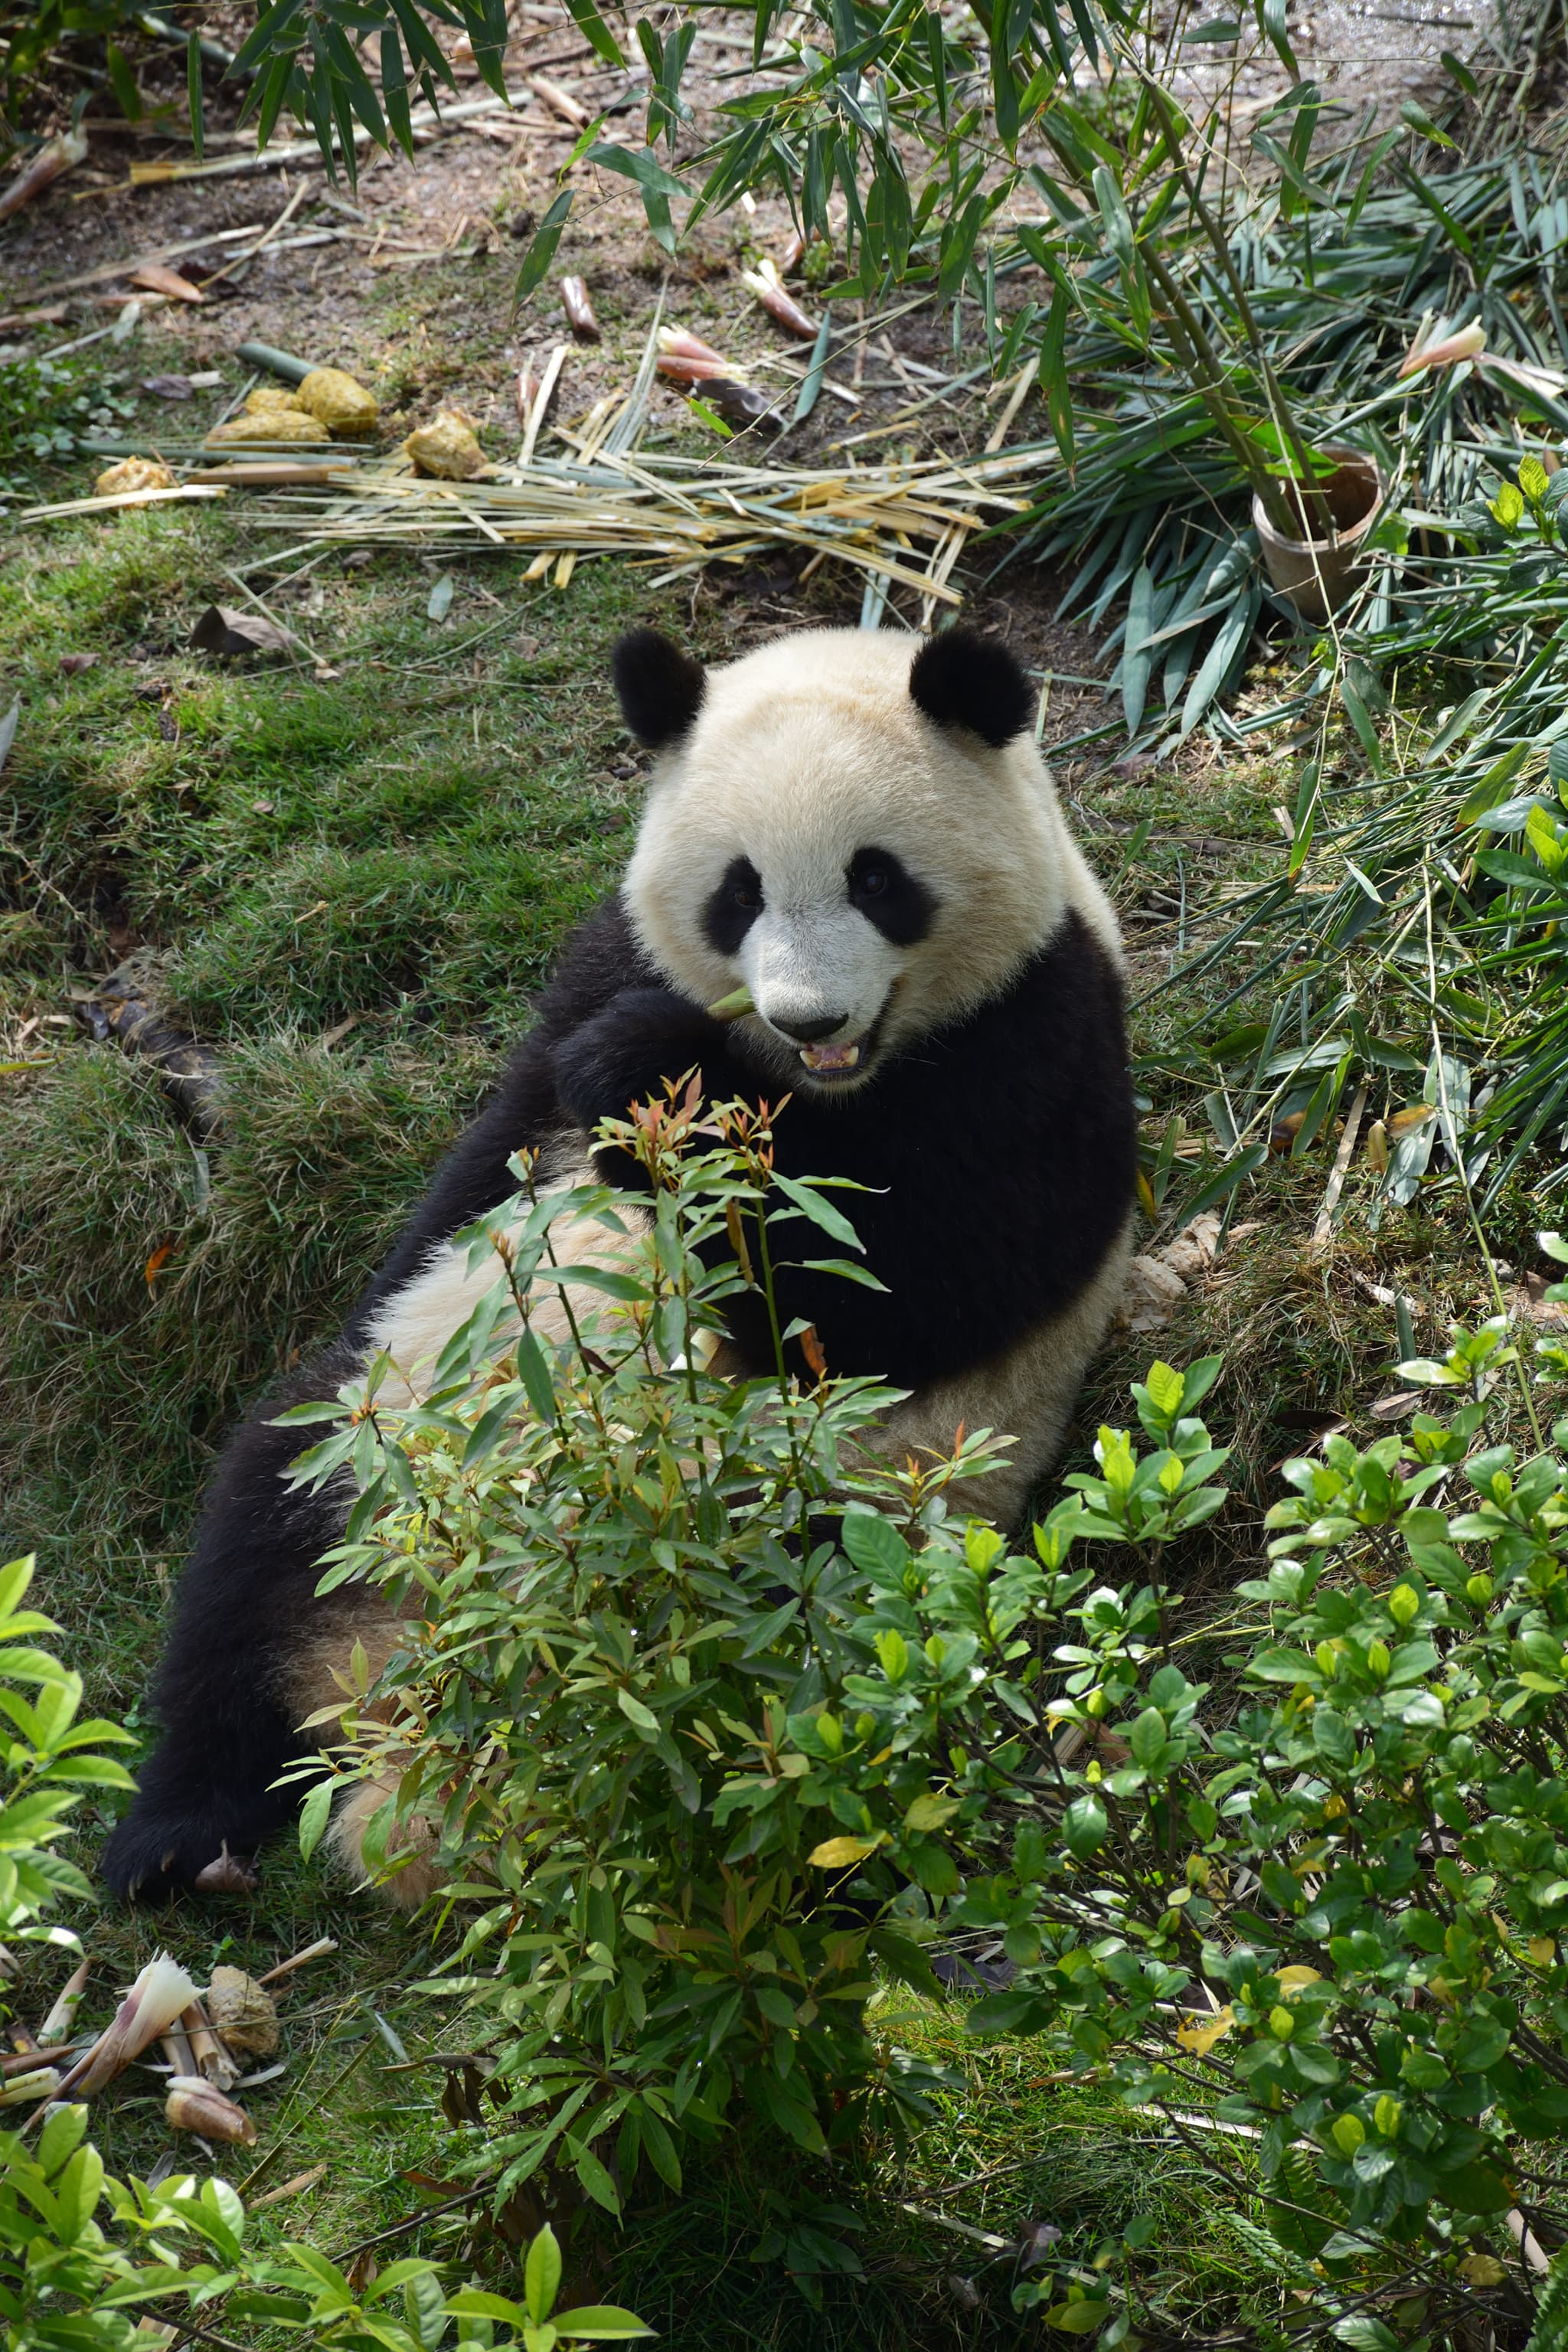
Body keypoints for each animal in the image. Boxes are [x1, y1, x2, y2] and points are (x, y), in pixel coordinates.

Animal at [100, 622, 1136, 1906]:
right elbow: (492, 1163)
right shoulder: (602, 965)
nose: (808, 1019)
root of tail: (419, 1676)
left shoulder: (1041, 1029)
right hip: (380, 1442)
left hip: (819, 1534)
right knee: (255, 1544)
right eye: (738, 890)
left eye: (877, 879)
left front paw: (665, 1088)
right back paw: (181, 1836)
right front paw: (638, 1089)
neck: (833, 1082)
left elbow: (909, 1289)